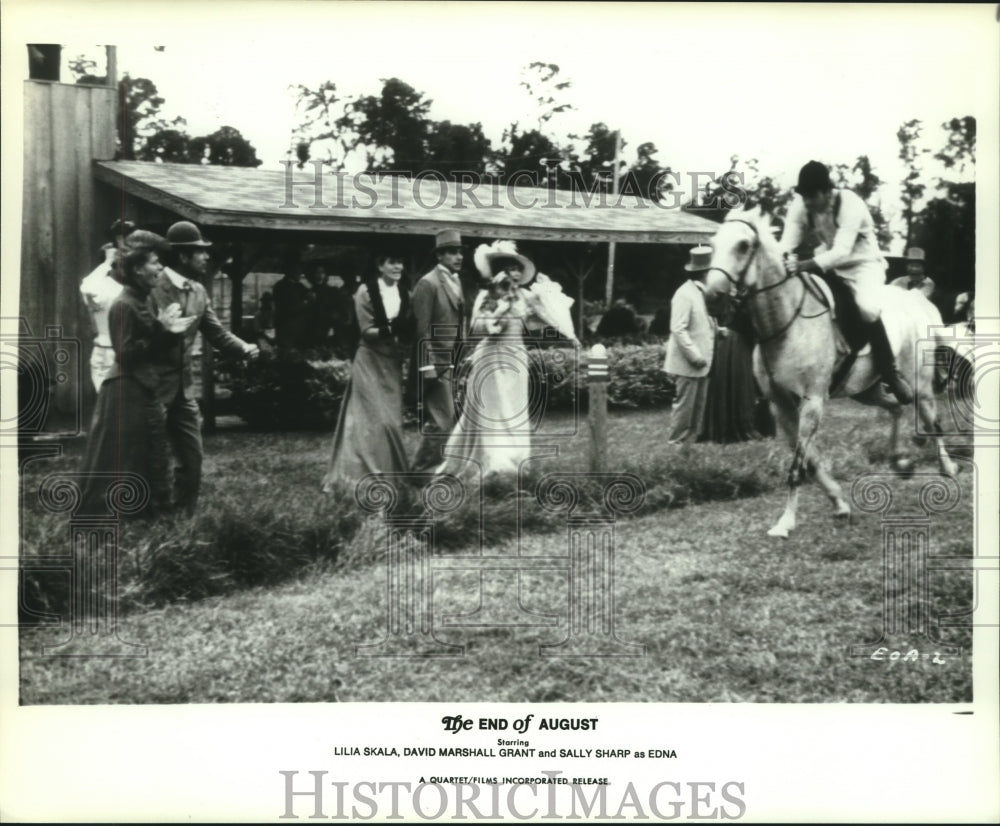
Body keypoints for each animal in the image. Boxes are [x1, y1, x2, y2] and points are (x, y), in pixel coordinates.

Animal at [700, 206, 956, 536]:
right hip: (866, 389)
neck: (786, 320)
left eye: (744, 245)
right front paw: (839, 503)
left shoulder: (812, 401)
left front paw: (785, 522)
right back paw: (899, 460)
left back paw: (947, 466)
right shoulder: (781, 404)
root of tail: (916, 300)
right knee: (896, 408)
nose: (712, 298)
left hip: (919, 385)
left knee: (930, 420)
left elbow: (798, 464)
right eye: (712, 244)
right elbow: (808, 460)